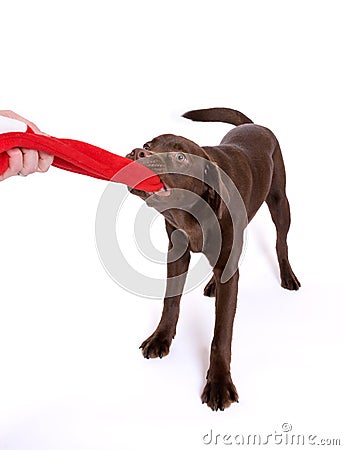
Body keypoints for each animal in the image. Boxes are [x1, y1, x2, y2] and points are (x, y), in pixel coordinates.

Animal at [125, 108, 300, 412]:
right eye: (149, 144)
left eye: (180, 157)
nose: (138, 152)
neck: (191, 212)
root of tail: (254, 125)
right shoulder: (176, 254)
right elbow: (170, 302)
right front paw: (160, 338)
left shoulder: (229, 270)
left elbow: (221, 333)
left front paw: (219, 383)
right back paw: (211, 285)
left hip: (280, 200)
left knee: (281, 241)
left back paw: (287, 275)